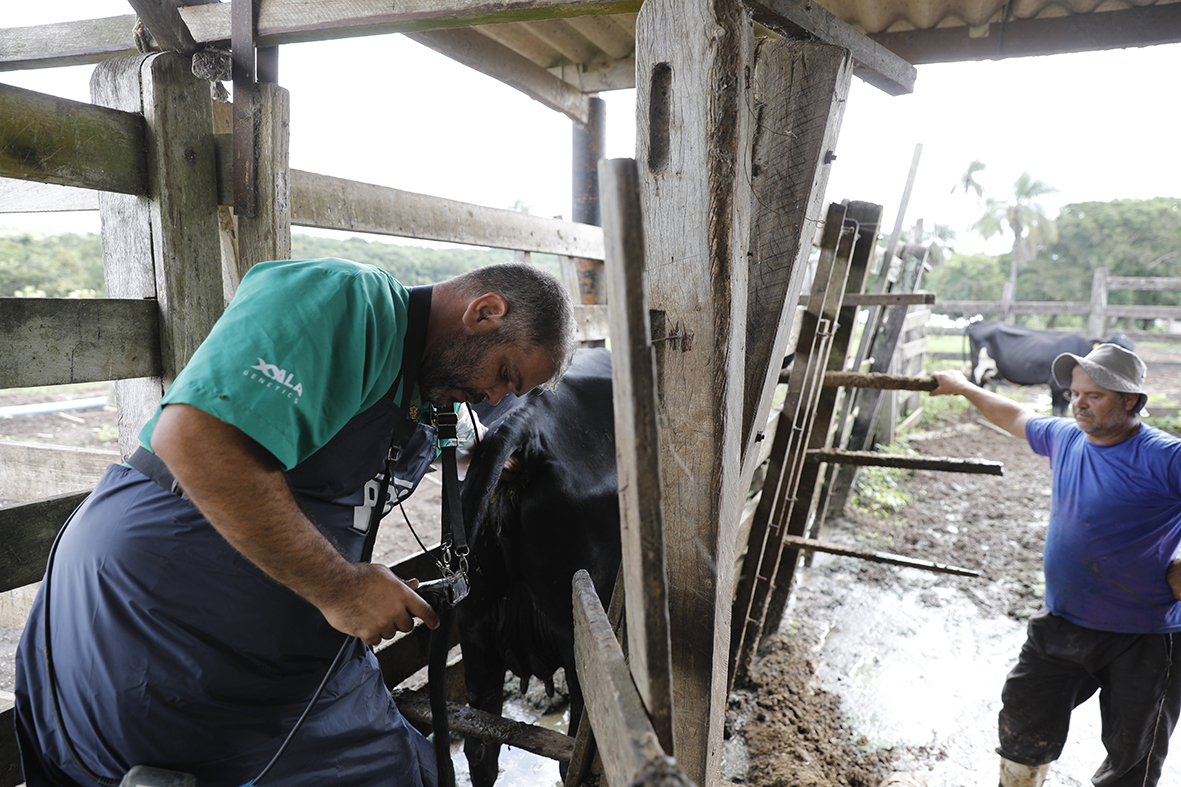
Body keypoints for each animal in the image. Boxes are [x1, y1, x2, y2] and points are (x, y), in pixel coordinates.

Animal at [968, 319, 1133, 415]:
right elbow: (1056, 411)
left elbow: (1064, 412)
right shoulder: (1056, 386)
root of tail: (979, 322)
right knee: (973, 383)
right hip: (978, 367)